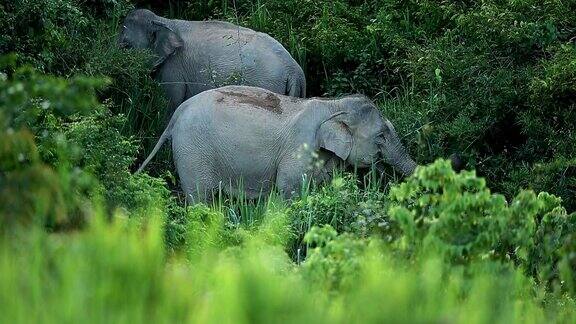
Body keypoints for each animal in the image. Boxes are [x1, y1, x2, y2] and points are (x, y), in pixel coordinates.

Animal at [136, 86, 414, 202]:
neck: (333, 104)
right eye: (381, 136)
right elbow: (288, 188)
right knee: (200, 197)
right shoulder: (300, 148)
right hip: (193, 152)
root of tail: (176, 114)